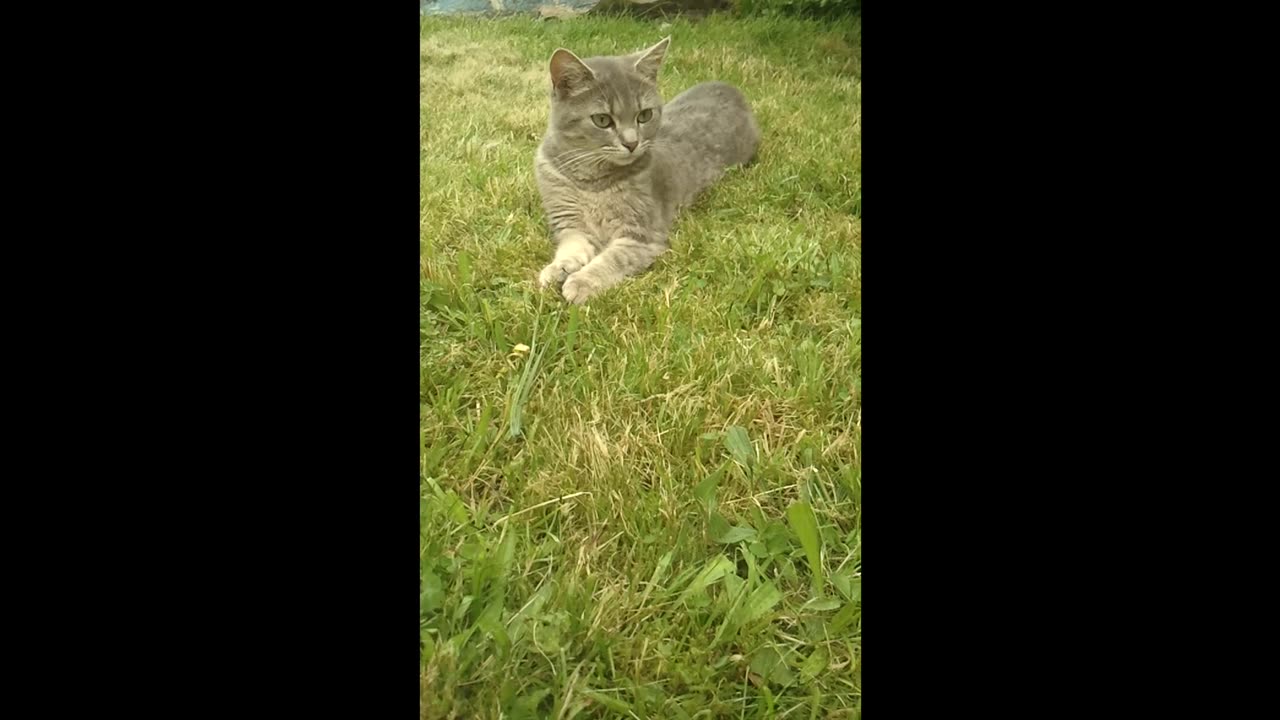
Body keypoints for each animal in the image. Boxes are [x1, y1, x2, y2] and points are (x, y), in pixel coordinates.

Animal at [532, 39, 752, 302]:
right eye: (602, 120)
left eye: (644, 115)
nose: (631, 143)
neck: (593, 183)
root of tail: (732, 89)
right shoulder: (569, 222)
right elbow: (572, 248)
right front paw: (559, 269)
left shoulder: (641, 235)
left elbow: (613, 259)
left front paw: (581, 281)